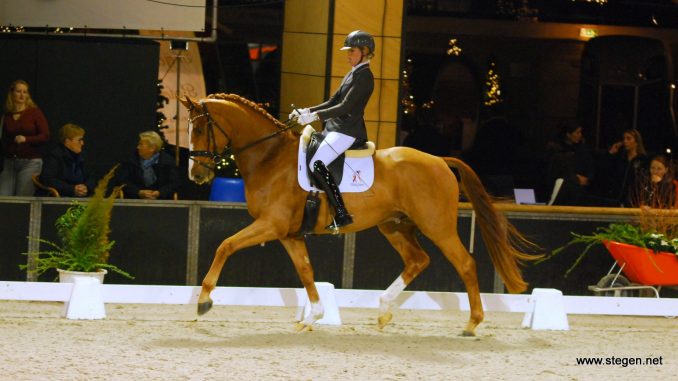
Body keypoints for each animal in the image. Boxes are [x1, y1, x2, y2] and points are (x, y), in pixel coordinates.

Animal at [182, 93, 540, 334]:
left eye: (199, 130)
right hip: (394, 226)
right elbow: (306, 270)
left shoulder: (270, 224)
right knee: (418, 260)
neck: (269, 156)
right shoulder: (287, 233)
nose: (196, 175)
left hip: (437, 226)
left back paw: (471, 323)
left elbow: (225, 246)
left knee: (464, 263)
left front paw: (203, 301)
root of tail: (440, 160)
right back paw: (383, 311)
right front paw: (313, 316)